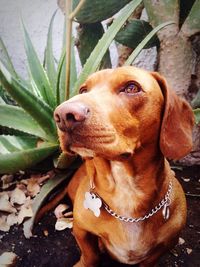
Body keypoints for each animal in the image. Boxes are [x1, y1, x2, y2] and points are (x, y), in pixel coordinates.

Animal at [53, 67, 194, 267]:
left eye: (132, 87)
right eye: (83, 90)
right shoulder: (80, 230)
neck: (125, 192)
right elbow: (90, 255)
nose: (63, 115)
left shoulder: (165, 246)